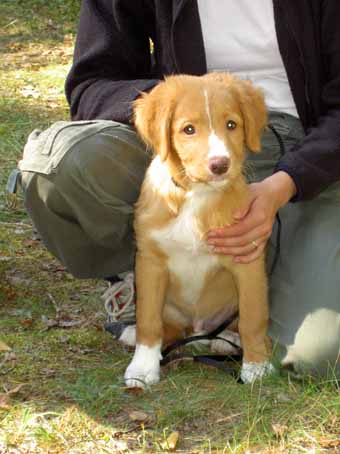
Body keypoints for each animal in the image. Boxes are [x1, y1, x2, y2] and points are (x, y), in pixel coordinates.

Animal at [125, 72, 274, 384]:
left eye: (231, 124)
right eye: (188, 130)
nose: (220, 164)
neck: (197, 194)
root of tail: (198, 331)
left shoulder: (248, 260)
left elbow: (254, 317)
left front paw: (256, 365)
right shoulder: (149, 262)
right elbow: (148, 319)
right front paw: (143, 367)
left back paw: (228, 339)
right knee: (167, 327)